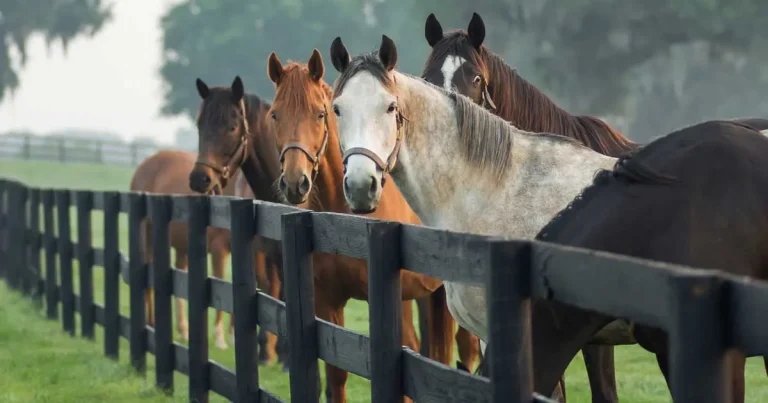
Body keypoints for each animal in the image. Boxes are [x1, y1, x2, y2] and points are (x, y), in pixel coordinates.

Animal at [265, 49, 454, 403]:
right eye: (274, 115)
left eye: (320, 114)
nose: (296, 183)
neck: (345, 222)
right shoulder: (328, 302)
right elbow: (336, 374)